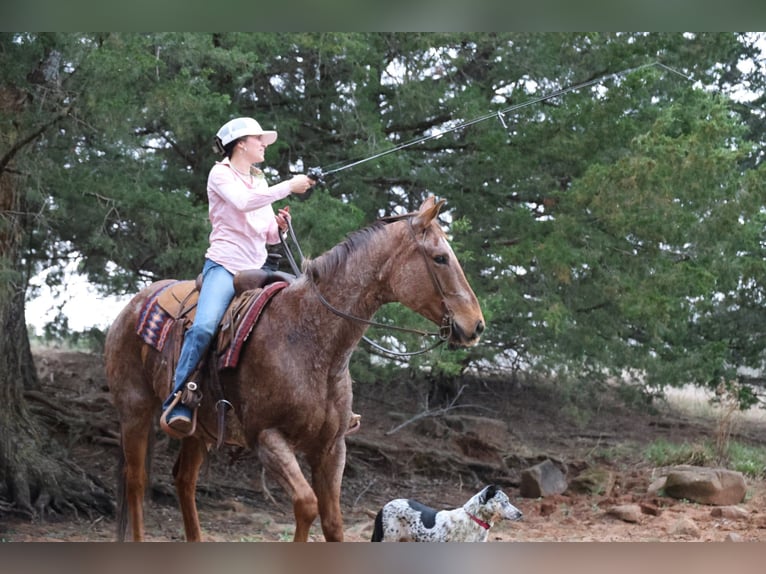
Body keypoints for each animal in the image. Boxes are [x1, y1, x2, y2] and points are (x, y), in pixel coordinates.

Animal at [104, 195, 485, 542]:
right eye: (440, 258)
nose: (476, 325)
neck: (311, 341)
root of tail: (132, 307)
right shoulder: (268, 438)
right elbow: (306, 505)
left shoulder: (332, 448)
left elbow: (332, 521)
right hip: (135, 410)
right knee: (136, 481)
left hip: (199, 431)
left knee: (184, 481)